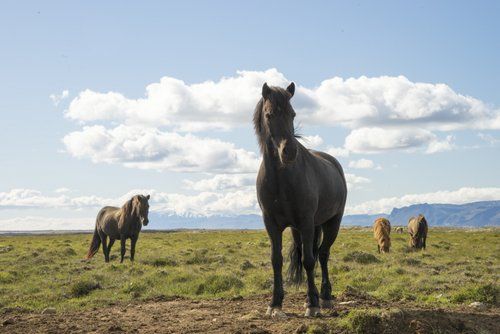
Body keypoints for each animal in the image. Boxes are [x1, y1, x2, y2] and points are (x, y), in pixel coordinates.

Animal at [254, 82, 348, 318]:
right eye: (269, 115)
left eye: (293, 114)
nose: (289, 152)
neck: (281, 179)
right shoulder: (272, 224)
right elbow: (276, 260)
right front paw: (275, 303)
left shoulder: (306, 221)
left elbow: (308, 260)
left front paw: (312, 303)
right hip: (304, 228)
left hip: (331, 223)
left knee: (322, 254)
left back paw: (324, 296)